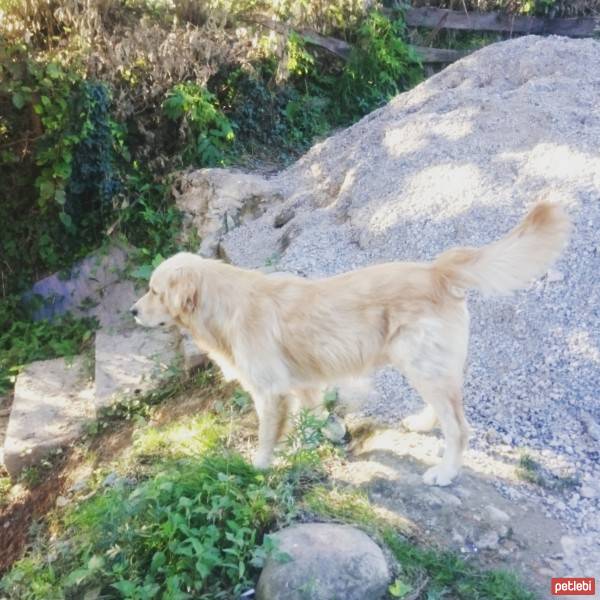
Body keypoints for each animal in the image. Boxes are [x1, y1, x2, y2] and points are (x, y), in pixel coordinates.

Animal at [132, 204, 572, 486]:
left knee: (460, 428)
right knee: (446, 408)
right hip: (424, 365)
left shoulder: (270, 393)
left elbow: (267, 437)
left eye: (154, 291)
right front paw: (331, 434)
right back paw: (422, 423)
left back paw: (446, 473)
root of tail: (437, 270)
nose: (133, 312)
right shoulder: (302, 383)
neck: (224, 304)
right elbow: (317, 413)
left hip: (421, 363)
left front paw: (258, 468)